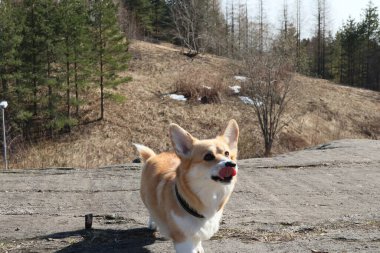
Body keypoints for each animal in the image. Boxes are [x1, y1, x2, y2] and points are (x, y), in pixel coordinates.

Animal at [134, 119, 238, 252]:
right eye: (208, 156)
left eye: (227, 153)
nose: (231, 164)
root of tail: (153, 156)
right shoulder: (183, 240)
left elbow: (197, 239)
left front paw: (199, 247)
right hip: (146, 196)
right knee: (151, 210)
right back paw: (154, 223)